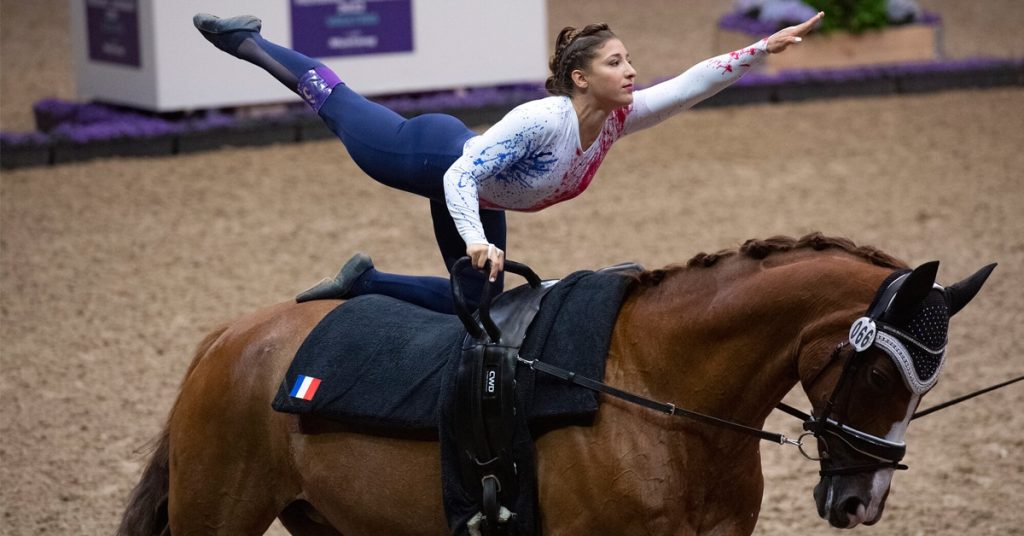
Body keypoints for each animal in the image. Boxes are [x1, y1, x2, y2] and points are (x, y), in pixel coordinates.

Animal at [117, 234, 991, 536]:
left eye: (925, 384)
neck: (661, 399)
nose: (861, 501)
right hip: (217, 520)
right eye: (875, 367)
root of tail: (228, 341)